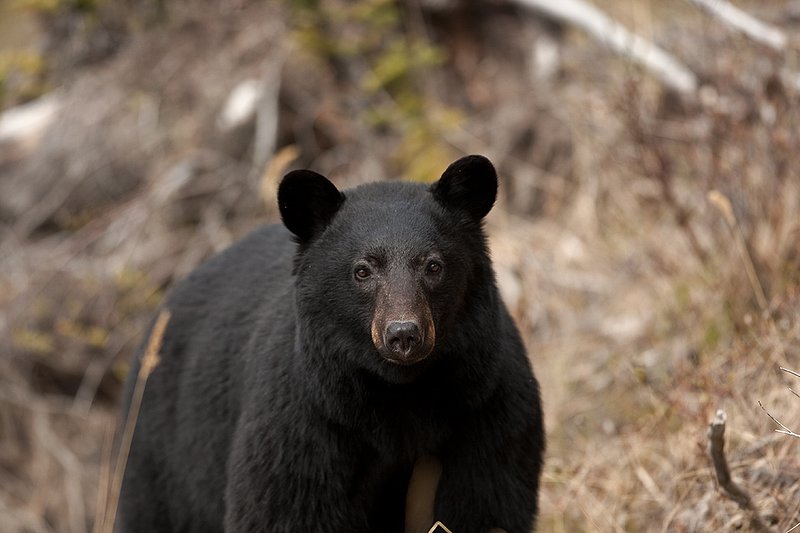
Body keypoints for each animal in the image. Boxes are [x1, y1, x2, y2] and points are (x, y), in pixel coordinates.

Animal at [116, 155, 545, 533]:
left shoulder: (486, 411)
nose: (403, 334)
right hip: (159, 455)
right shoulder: (305, 421)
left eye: (433, 265)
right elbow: (283, 509)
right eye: (362, 270)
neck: (400, 397)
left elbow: (487, 503)